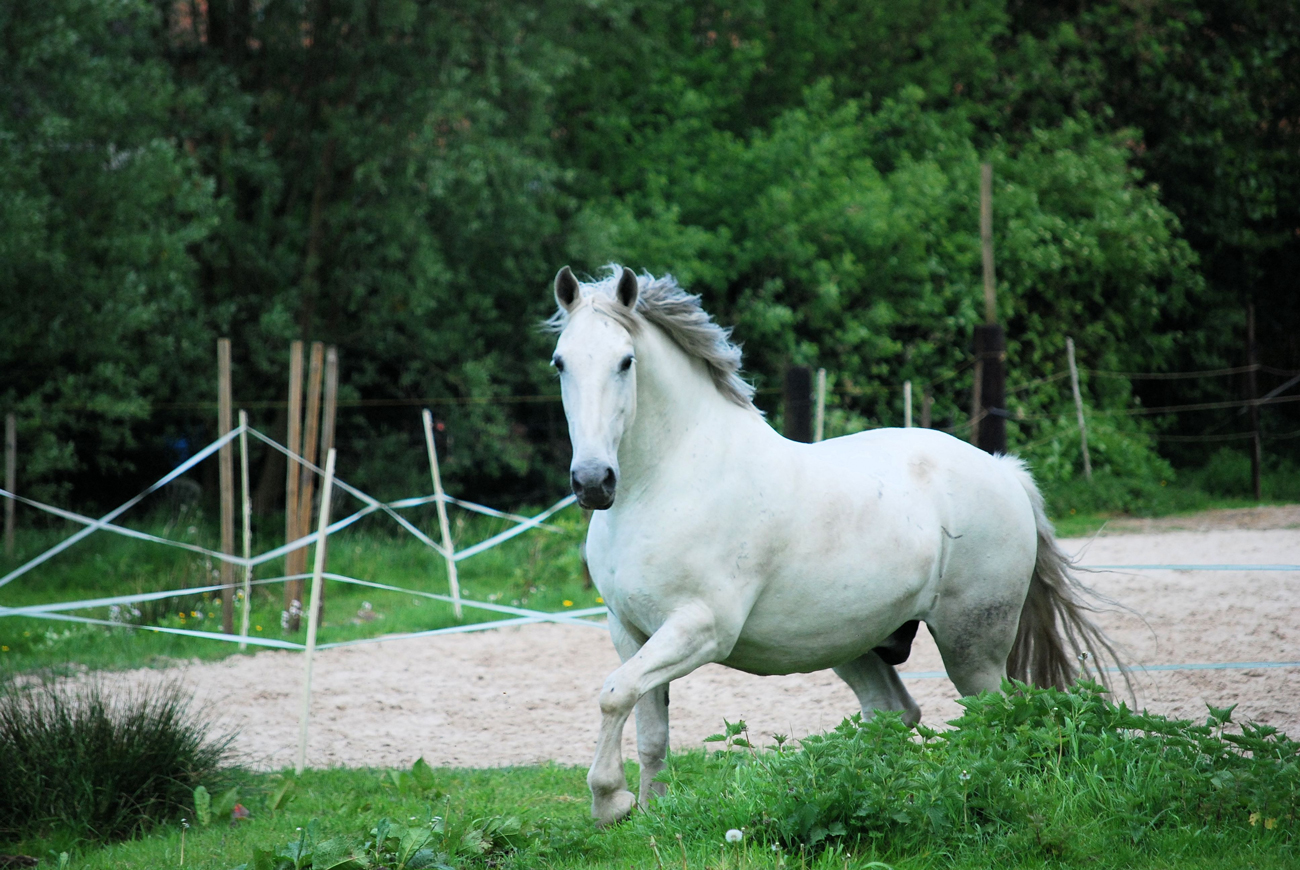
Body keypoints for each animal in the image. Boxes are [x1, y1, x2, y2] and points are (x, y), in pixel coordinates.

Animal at [546, 262, 1118, 821]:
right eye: (560, 363)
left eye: (625, 362)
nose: (593, 482)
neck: (665, 481)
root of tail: (1003, 471)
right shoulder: (630, 630)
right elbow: (649, 728)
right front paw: (650, 813)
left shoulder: (701, 628)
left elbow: (614, 694)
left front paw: (609, 800)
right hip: (853, 641)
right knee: (893, 712)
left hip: (973, 644)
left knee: (992, 716)